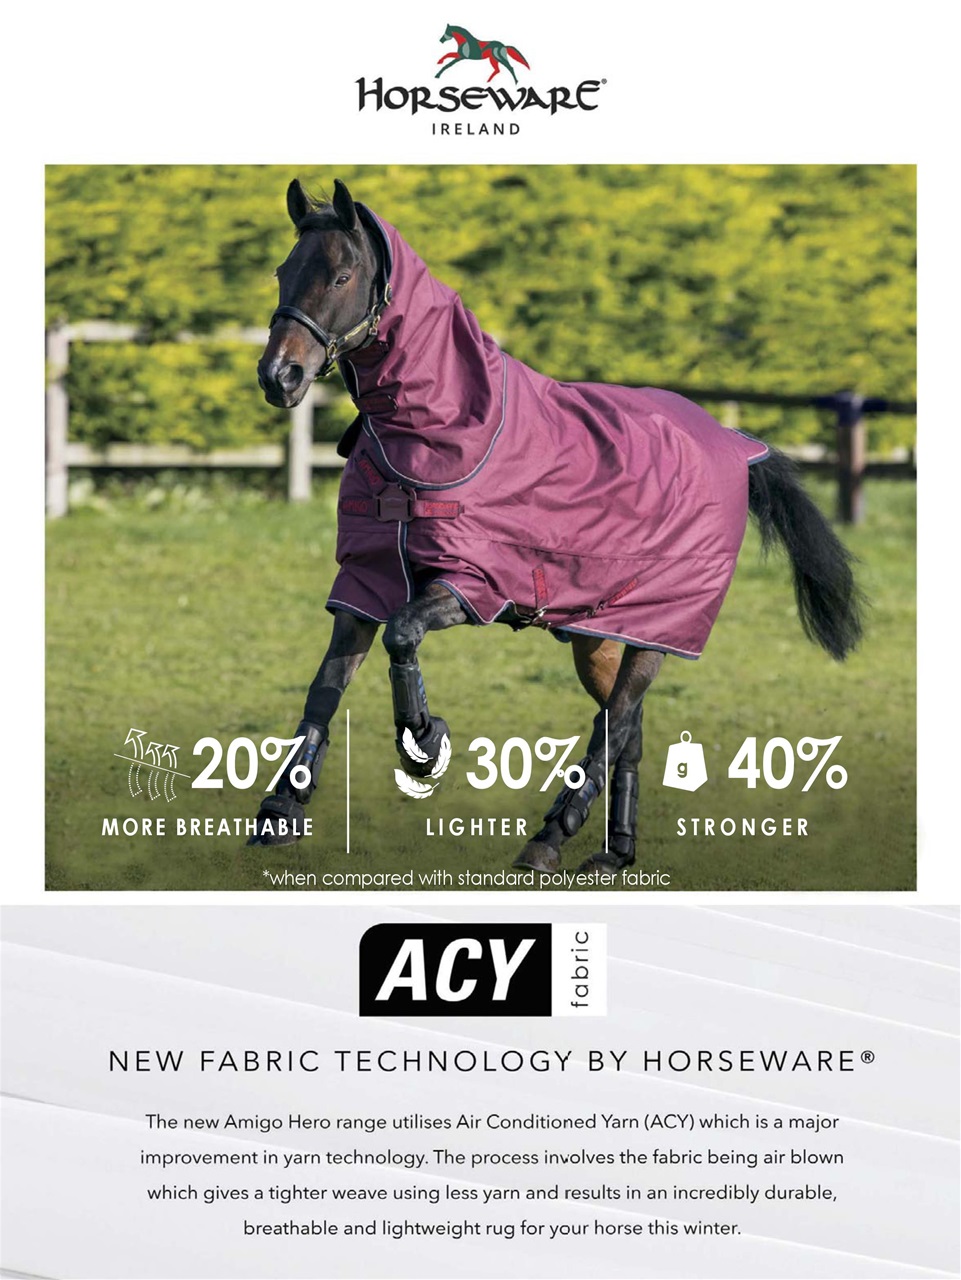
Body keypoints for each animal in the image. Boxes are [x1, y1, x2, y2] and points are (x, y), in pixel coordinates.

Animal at [252, 179, 863, 874]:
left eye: (342, 275)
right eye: (284, 272)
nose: (280, 376)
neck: (436, 429)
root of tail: (737, 445)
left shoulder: (471, 585)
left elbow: (403, 638)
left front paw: (425, 743)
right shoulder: (366, 581)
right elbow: (325, 688)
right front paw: (281, 809)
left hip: (658, 632)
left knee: (616, 721)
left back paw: (551, 836)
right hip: (596, 634)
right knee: (629, 727)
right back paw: (613, 853)